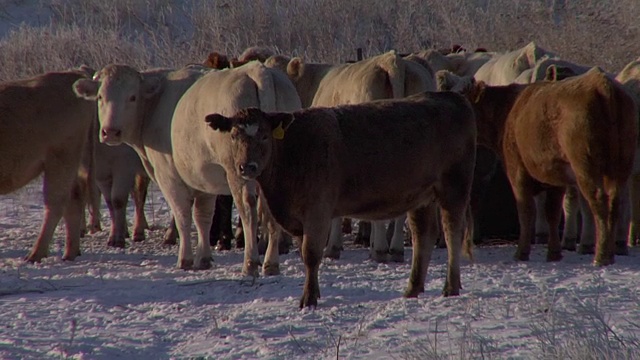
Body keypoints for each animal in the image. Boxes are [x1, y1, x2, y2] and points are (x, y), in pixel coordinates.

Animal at [0, 69, 95, 262]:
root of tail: (74, 73)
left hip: (60, 161)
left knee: (55, 203)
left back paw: (35, 254)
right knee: (74, 199)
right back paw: (70, 252)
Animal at [204, 91, 476, 308]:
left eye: (263, 135)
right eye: (234, 136)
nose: (246, 167)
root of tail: (449, 96)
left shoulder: (317, 211)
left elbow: (311, 254)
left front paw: (309, 299)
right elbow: (306, 255)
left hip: (454, 186)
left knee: (452, 231)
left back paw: (451, 286)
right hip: (421, 197)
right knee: (423, 236)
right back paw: (412, 288)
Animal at [442, 67, 636, 266]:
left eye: (462, 95)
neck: (508, 111)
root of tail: (602, 84)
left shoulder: (517, 172)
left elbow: (526, 212)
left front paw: (521, 252)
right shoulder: (555, 177)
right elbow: (553, 213)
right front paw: (554, 253)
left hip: (586, 167)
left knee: (598, 201)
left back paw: (601, 255)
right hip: (621, 167)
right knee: (615, 202)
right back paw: (610, 252)